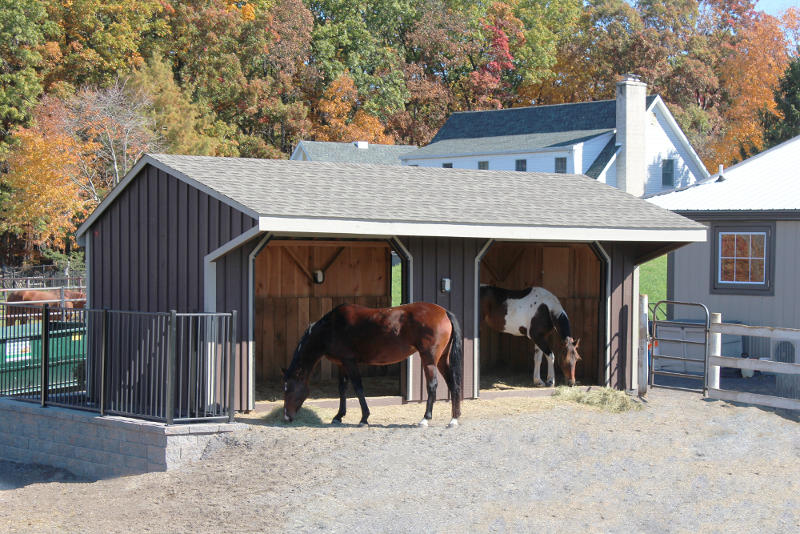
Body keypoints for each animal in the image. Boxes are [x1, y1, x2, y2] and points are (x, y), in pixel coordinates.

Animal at [286, 304, 462, 430]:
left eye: (288, 390)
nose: (287, 417)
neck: (332, 327)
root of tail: (444, 312)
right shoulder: (342, 363)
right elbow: (342, 388)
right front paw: (338, 416)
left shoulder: (350, 362)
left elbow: (358, 388)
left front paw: (364, 418)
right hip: (442, 360)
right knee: (453, 384)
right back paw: (454, 419)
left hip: (429, 360)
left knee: (432, 385)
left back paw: (425, 419)